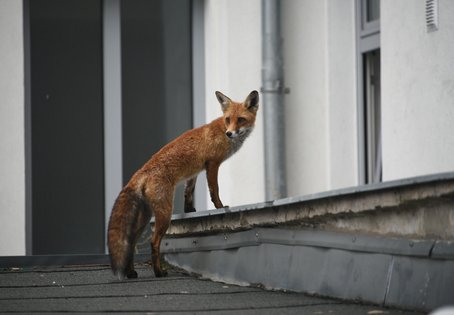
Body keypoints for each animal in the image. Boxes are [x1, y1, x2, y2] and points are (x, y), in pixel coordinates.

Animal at [107, 90, 260, 280]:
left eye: (240, 119)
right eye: (228, 119)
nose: (229, 133)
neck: (221, 130)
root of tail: (140, 172)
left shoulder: (194, 172)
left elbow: (189, 192)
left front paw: (190, 211)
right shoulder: (212, 163)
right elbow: (214, 190)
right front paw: (220, 207)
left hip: (144, 217)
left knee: (131, 242)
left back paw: (131, 272)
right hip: (165, 214)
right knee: (154, 242)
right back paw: (158, 272)